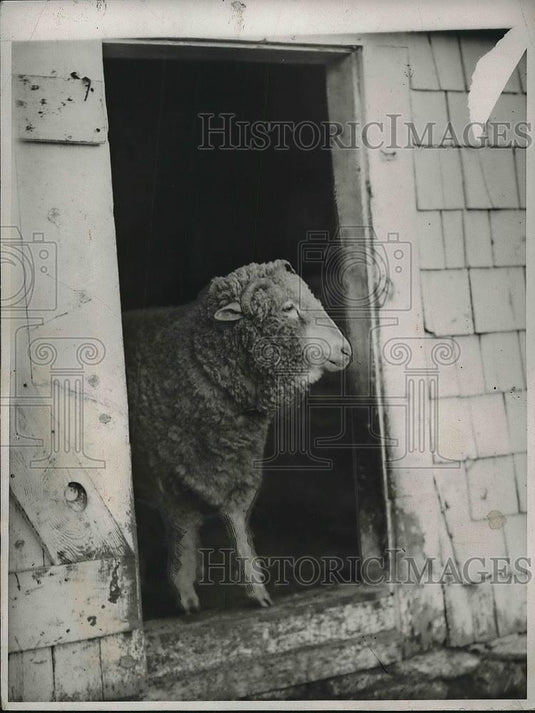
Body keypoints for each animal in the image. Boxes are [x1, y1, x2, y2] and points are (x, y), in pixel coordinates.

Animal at [123, 259, 352, 612]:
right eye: (288, 308)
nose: (346, 349)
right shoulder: (171, 479)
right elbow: (182, 534)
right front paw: (185, 594)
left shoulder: (238, 469)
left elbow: (237, 527)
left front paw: (257, 590)